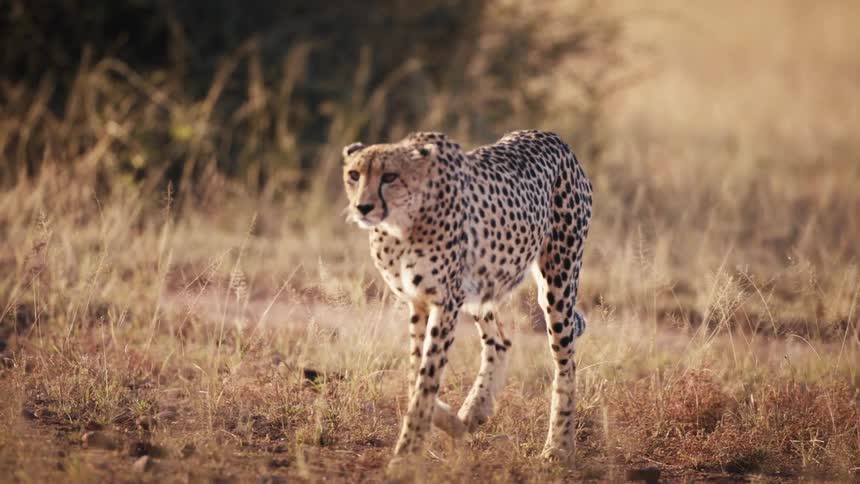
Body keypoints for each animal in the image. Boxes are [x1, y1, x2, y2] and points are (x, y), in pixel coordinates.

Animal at [341, 129, 592, 466]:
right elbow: (414, 373)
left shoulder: (445, 301)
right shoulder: (419, 301)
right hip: (482, 286)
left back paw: (559, 446)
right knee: (500, 341)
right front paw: (447, 422)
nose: (363, 207)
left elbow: (426, 378)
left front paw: (407, 453)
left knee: (566, 363)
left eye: (390, 176)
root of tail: (552, 137)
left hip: (558, 281)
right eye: (354, 175)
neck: (402, 223)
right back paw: (474, 411)